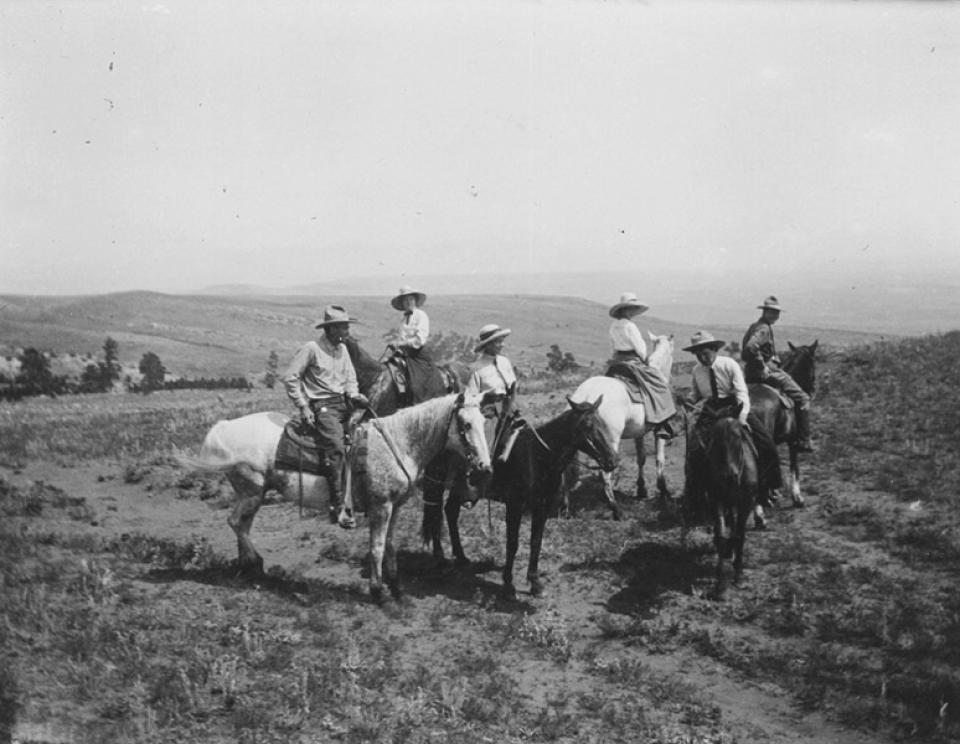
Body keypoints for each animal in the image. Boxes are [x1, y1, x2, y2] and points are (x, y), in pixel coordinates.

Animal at [424, 396, 620, 600]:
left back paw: (461, 557)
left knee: (450, 512)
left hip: (458, 488)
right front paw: (508, 585)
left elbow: (536, 542)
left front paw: (535, 583)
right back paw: (440, 559)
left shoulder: (541, 507)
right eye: (587, 425)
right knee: (434, 515)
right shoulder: (515, 506)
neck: (538, 457)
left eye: (603, 422)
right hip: (435, 483)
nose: (613, 461)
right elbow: (513, 543)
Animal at [568, 332, 676, 516]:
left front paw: (641, 489)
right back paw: (614, 508)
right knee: (605, 472)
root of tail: (586, 397)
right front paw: (664, 491)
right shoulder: (659, 430)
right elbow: (659, 459)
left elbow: (641, 458)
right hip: (610, 442)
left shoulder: (639, 433)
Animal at [752, 342, 816, 512]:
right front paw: (797, 498)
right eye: (813, 363)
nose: (812, 389)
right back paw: (758, 513)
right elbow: (795, 467)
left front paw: (771, 496)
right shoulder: (793, 442)